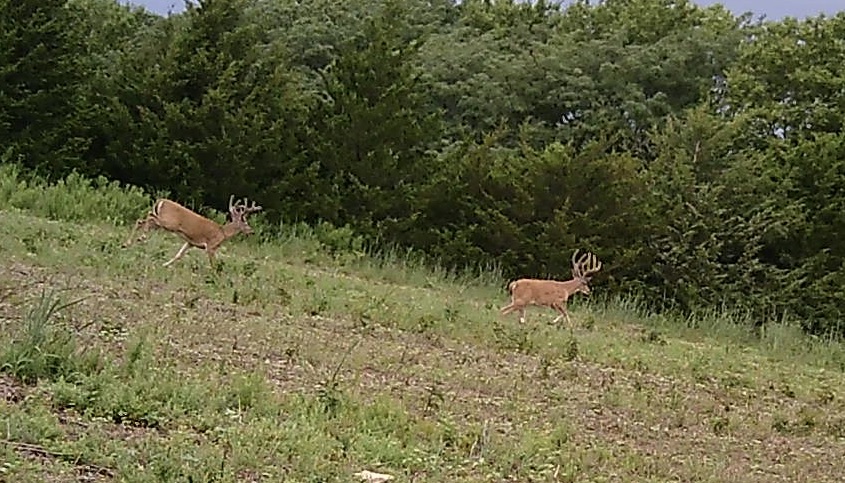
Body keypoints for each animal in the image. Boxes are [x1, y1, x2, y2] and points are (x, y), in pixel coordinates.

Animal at [122, 195, 263, 268]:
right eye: (245, 222)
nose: (252, 231)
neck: (223, 233)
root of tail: (161, 201)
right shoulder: (211, 246)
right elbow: (213, 264)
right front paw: (215, 277)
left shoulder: (191, 242)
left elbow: (179, 255)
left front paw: (165, 264)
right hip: (169, 222)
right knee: (147, 217)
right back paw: (141, 237)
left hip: (162, 223)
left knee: (142, 220)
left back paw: (128, 243)